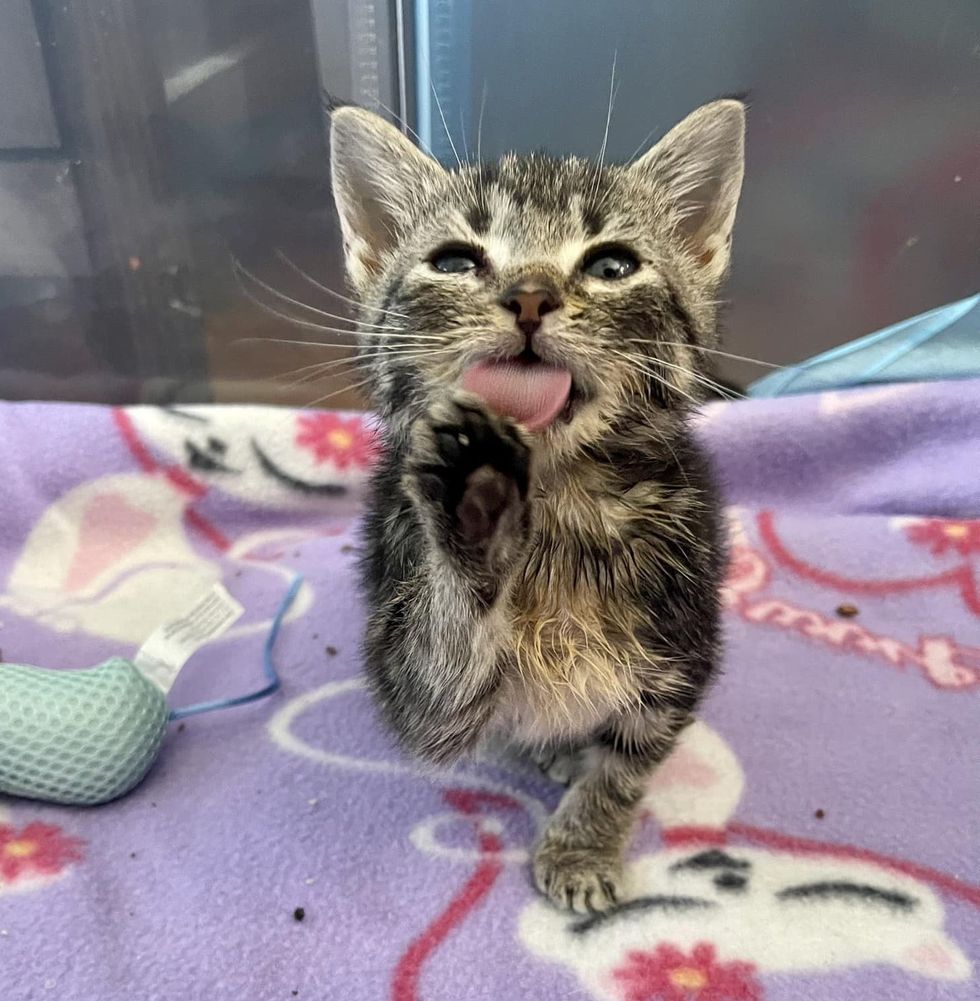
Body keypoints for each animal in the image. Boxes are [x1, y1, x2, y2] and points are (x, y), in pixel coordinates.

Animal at [330, 97, 744, 912]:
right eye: (455, 261)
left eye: (612, 265)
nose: (529, 295)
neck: (558, 503)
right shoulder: (413, 683)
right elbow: (445, 667)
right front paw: (473, 502)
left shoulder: (683, 647)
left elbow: (626, 764)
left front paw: (582, 845)